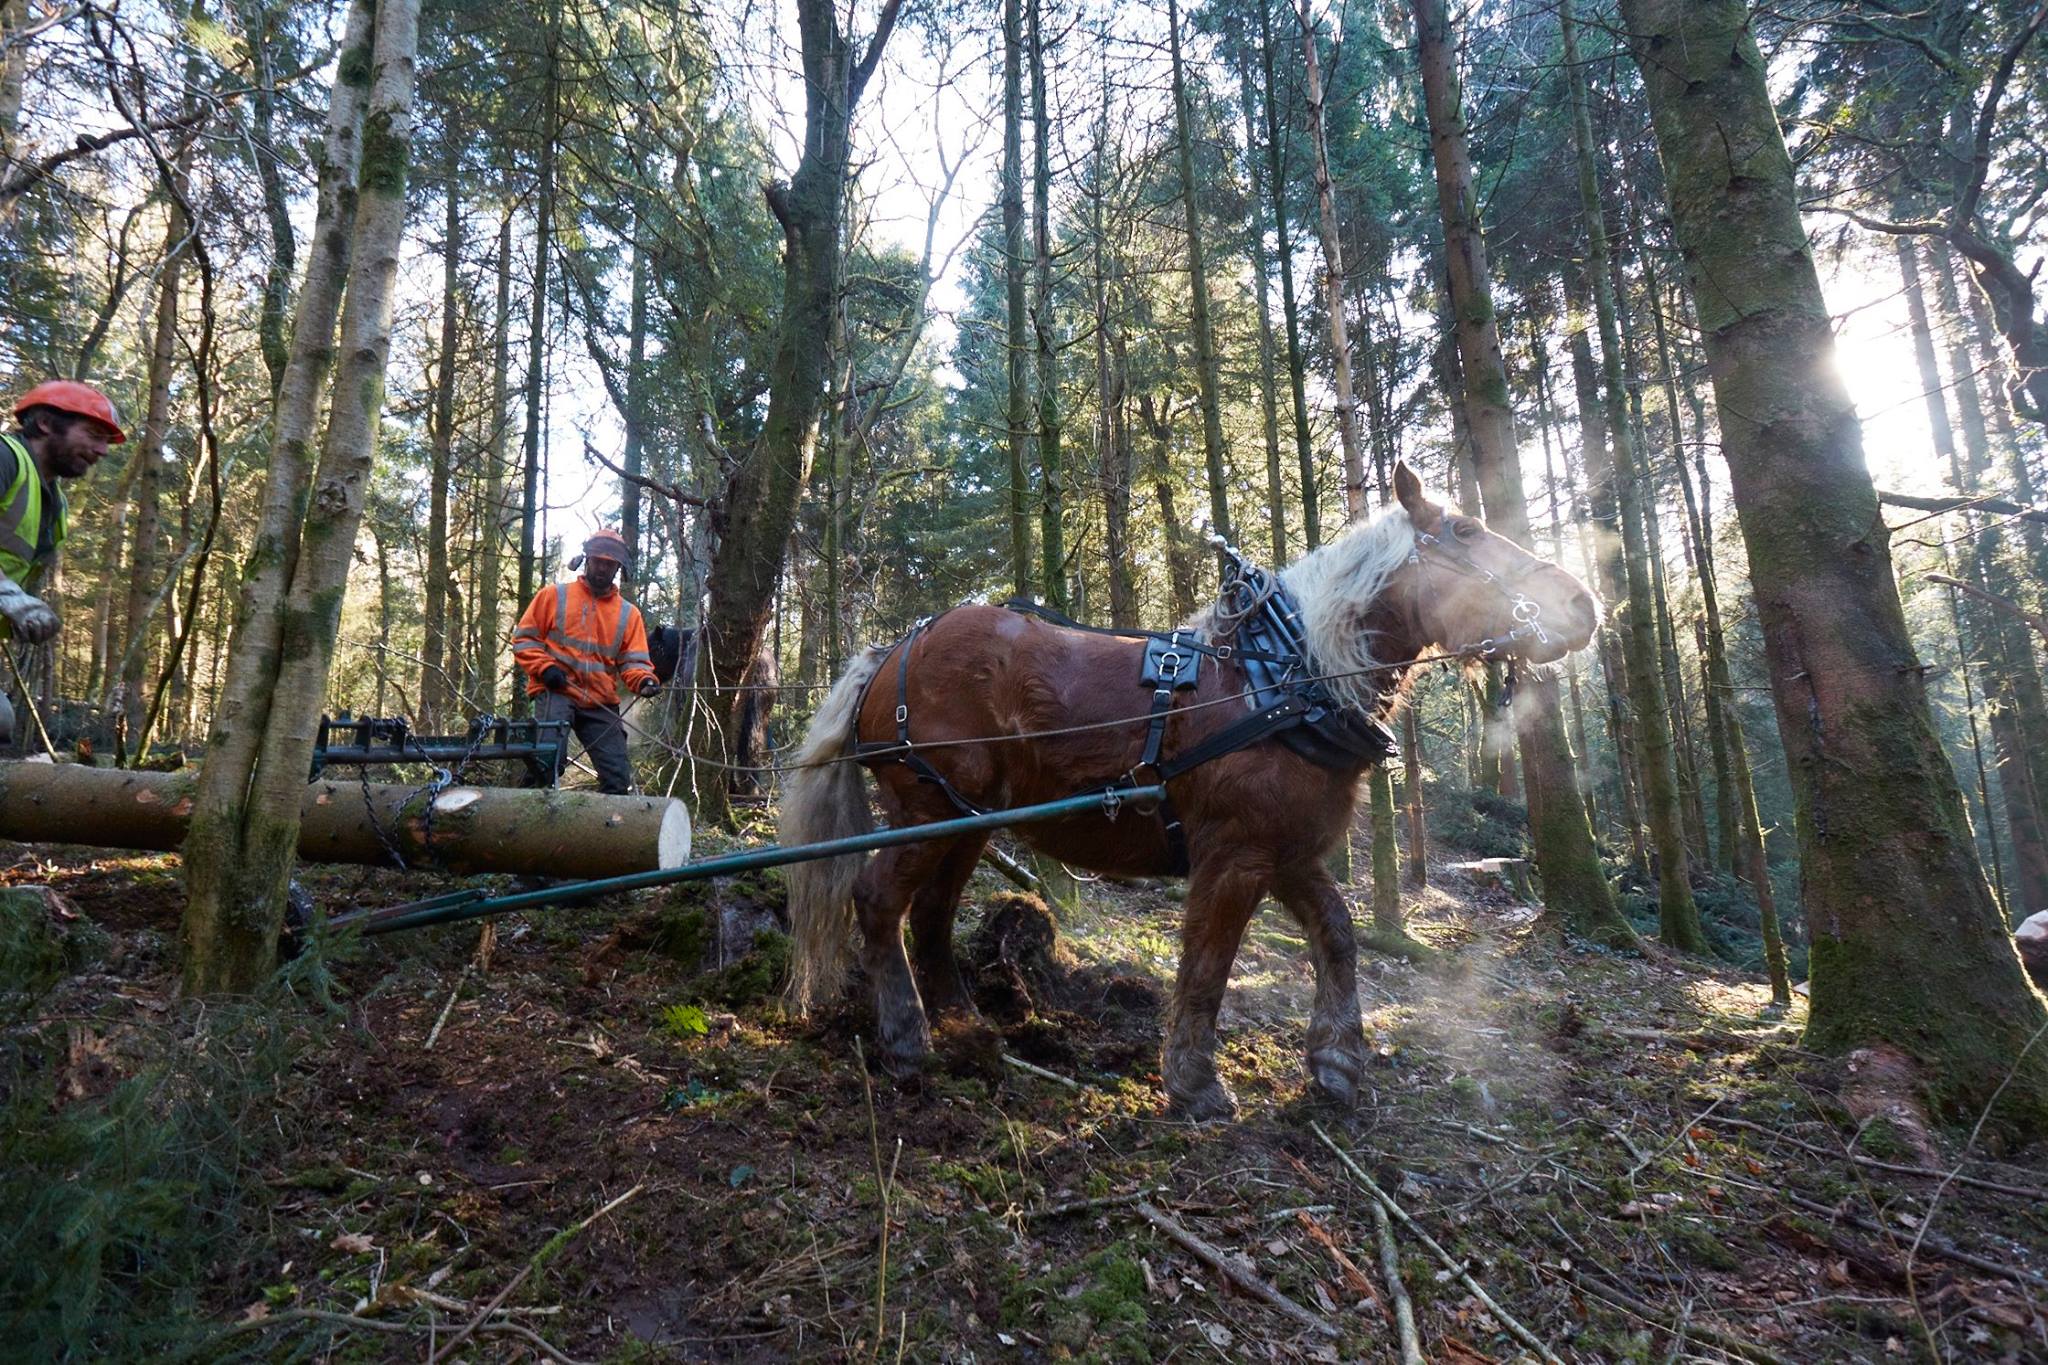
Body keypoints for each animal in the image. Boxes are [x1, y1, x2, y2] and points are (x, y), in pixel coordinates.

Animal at [779, 461, 1601, 1120]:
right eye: (1464, 529)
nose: (1583, 604)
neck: (1287, 676)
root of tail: (892, 651)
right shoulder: (1235, 854)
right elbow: (1208, 965)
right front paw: (1195, 1083)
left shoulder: (1289, 851)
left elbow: (1337, 935)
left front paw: (1336, 1062)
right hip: (925, 809)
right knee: (879, 900)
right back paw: (907, 1039)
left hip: (967, 819)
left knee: (932, 915)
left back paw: (968, 1027)